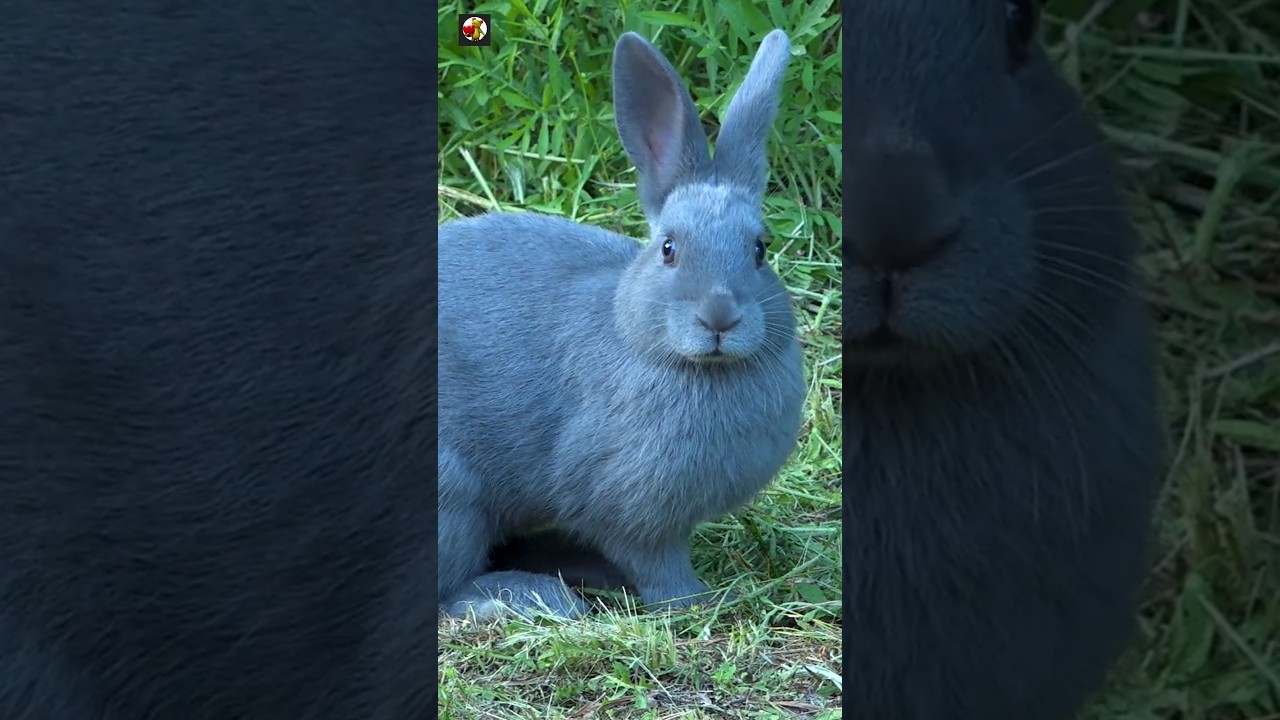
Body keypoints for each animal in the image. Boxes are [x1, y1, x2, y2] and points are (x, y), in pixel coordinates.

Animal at [437, 29, 807, 620]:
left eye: (759, 250)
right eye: (669, 249)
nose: (720, 317)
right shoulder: (631, 508)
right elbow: (658, 565)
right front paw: (699, 601)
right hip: (454, 500)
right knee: (447, 588)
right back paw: (537, 598)